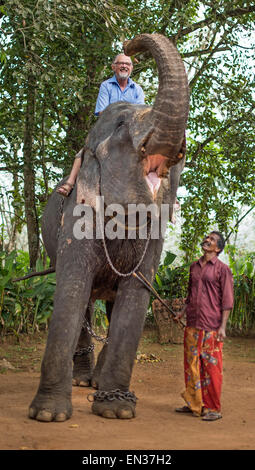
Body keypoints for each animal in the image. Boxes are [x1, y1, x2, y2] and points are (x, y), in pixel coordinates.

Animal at [28, 33, 189, 422]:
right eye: (120, 127)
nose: (129, 47)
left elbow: (136, 296)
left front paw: (117, 411)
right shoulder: (78, 216)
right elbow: (72, 289)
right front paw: (49, 416)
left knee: (112, 303)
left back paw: (99, 384)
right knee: (86, 301)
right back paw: (82, 381)